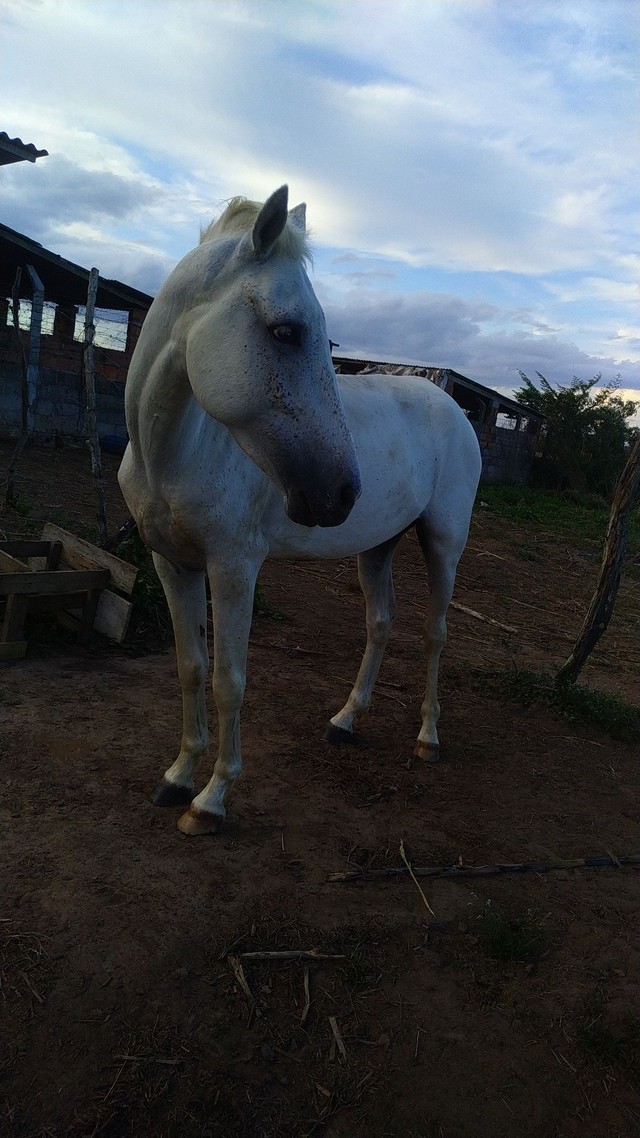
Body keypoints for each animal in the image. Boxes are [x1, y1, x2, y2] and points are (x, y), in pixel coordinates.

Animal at [118, 186, 478, 837]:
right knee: (380, 624)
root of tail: (451, 406)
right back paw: (345, 721)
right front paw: (177, 776)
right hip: (377, 547)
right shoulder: (170, 563)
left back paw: (428, 737)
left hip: (443, 542)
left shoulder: (234, 568)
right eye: (286, 331)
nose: (342, 491)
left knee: (435, 634)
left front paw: (211, 800)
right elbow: (189, 668)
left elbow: (229, 681)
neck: (175, 450)